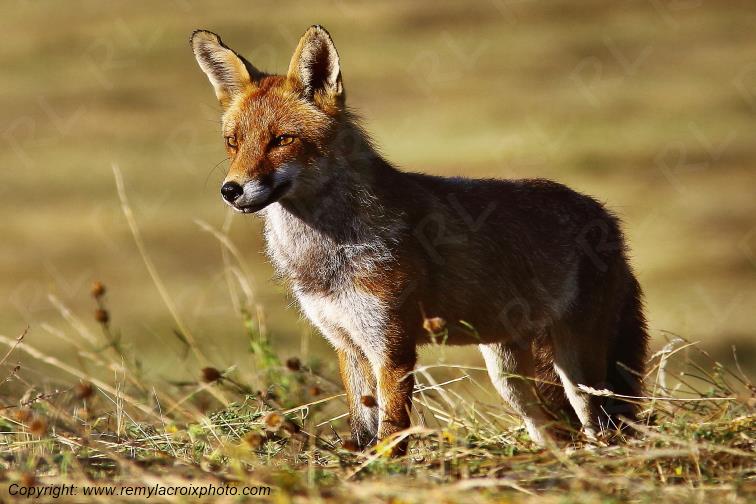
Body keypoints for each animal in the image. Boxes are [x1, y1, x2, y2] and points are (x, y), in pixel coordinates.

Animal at [190, 25, 648, 454]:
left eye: (282, 140)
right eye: (233, 142)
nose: (231, 190)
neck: (328, 256)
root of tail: (605, 216)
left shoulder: (392, 347)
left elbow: (392, 434)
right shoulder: (347, 345)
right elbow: (362, 430)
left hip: (580, 371)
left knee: (605, 425)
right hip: (510, 377)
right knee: (557, 432)